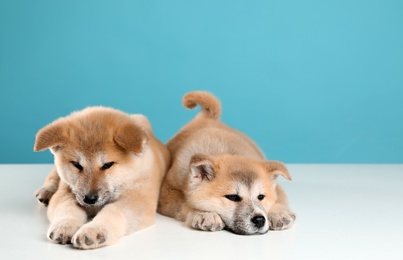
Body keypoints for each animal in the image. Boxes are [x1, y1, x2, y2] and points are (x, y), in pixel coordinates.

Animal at [34, 106, 170, 250]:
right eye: (77, 164)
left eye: (107, 165)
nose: (89, 199)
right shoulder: (65, 192)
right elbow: (67, 209)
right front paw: (64, 226)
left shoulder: (138, 201)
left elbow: (112, 211)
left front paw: (93, 231)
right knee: (54, 175)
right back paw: (46, 191)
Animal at [159, 92, 296, 236]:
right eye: (233, 197)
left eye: (261, 196)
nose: (259, 220)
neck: (224, 151)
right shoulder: (166, 194)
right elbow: (185, 204)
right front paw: (206, 214)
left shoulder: (278, 189)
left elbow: (278, 199)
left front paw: (279, 213)